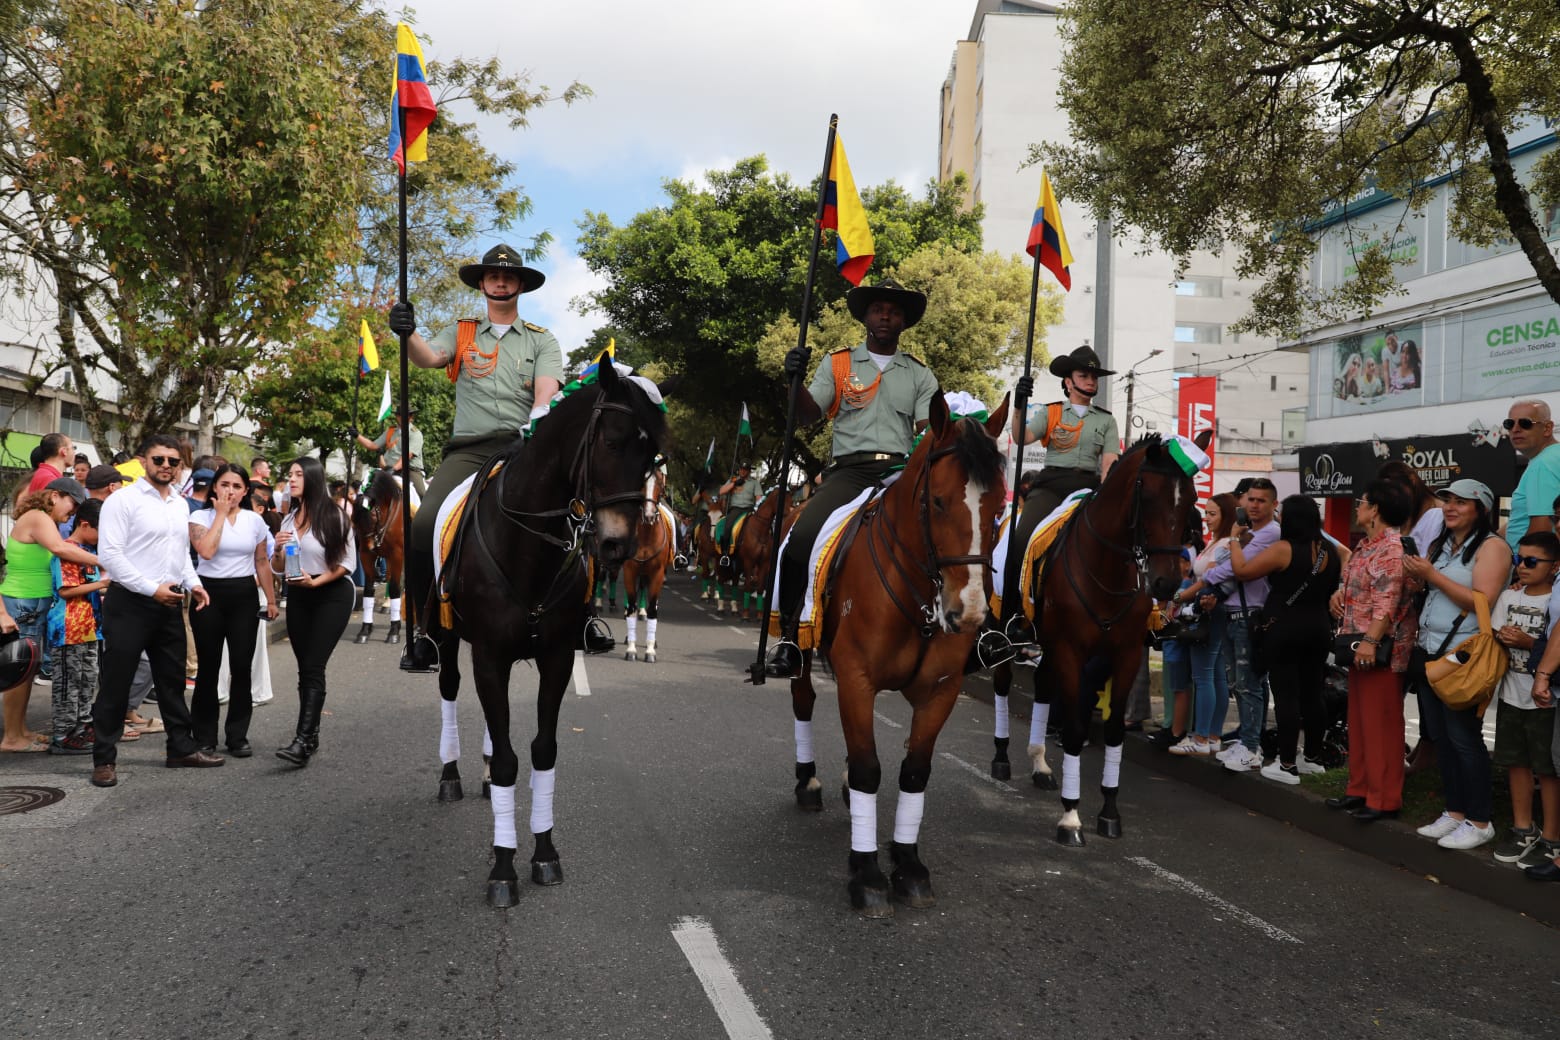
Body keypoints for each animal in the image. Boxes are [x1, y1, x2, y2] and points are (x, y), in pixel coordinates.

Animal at [351, 470, 405, 642]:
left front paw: (394, 631)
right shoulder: (366, 556)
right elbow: (369, 590)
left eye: (373, 517)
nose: (370, 546)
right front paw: (365, 630)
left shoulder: (397, 555)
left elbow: (394, 588)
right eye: (354, 519)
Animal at [430, 361, 667, 904]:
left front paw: (543, 852)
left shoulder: (555, 657)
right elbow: (507, 762)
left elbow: (541, 750)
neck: (526, 544)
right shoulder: (489, 656)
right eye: (612, 442)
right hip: (451, 641)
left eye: (653, 458)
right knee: (450, 689)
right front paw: (502, 868)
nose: (618, 544)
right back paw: (451, 774)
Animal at [617, 470, 673, 657]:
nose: (648, 515)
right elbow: (631, 608)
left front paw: (649, 649)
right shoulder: (629, 570)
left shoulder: (658, 573)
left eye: (660, 484)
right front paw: (631, 648)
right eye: (641, 483)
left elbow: (653, 609)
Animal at [786, 396, 1017, 916]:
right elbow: (870, 768)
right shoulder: (857, 677)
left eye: (998, 508)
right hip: (803, 654)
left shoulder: (939, 690)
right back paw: (808, 783)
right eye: (938, 501)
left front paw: (908, 866)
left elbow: (913, 771)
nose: (969, 612)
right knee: (805, 701)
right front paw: (867, 873)